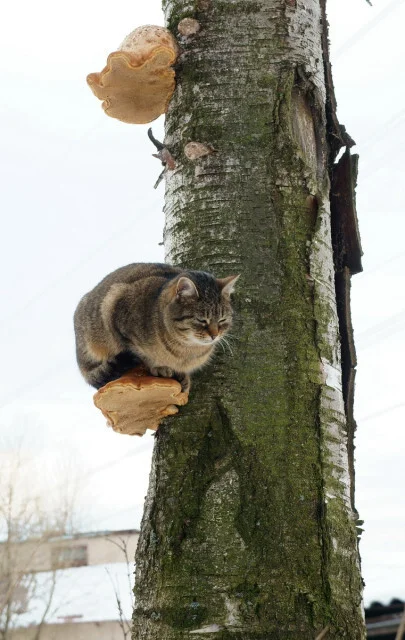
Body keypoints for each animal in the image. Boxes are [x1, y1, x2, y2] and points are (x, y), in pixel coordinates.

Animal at [73, 260, 237, 390]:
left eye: (222, 320)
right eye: (202, 320)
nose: (214, 335)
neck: (185, 350)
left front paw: (183, 376)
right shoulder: (114, 305)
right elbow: (142, 356)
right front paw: (158, 367)